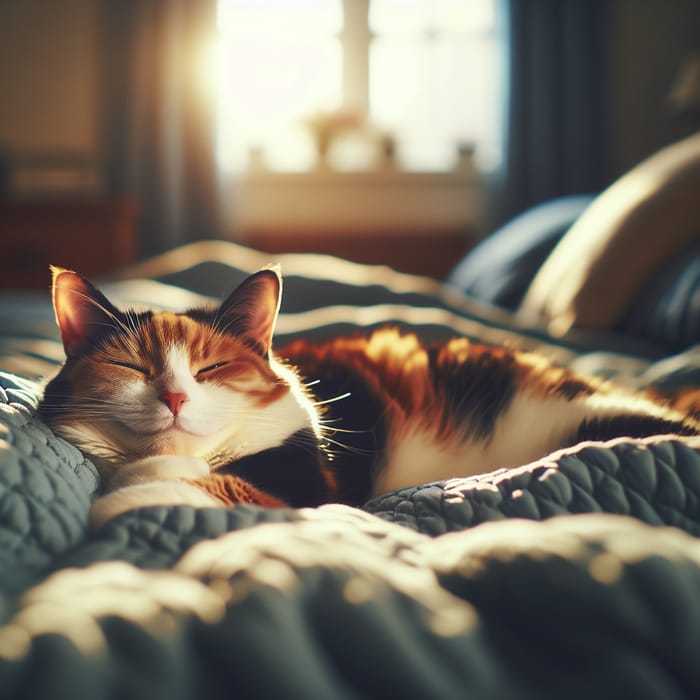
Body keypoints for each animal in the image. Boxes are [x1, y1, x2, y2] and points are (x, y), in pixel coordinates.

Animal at [39, 266, 700, 528]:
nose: (176, 397)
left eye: (213, 367)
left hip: (598, 420)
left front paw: (133, 497)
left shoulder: (313, 484)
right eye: (130, 364)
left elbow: (229, 486)